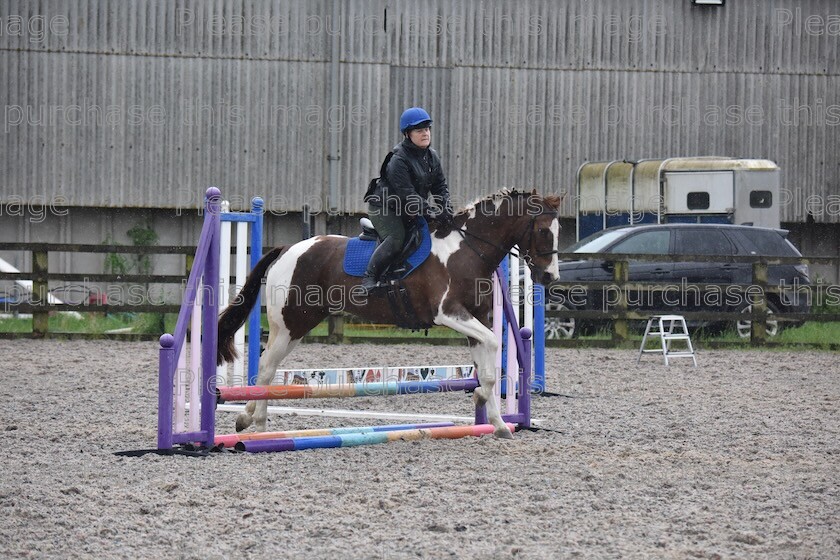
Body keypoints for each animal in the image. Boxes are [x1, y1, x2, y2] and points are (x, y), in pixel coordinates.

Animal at [217, 188, 560, 438]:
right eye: (544, 231)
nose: (549, 277)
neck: (465, 251)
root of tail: (289, 249)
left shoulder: (475, 320)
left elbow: (488, 363)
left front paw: (497, 422)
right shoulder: (449, 314)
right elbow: (493, 344)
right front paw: (479, 398)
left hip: (298, 325)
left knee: (270, 367)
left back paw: (253, 420)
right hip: (291, 322)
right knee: (265, 367)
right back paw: (254, 424)